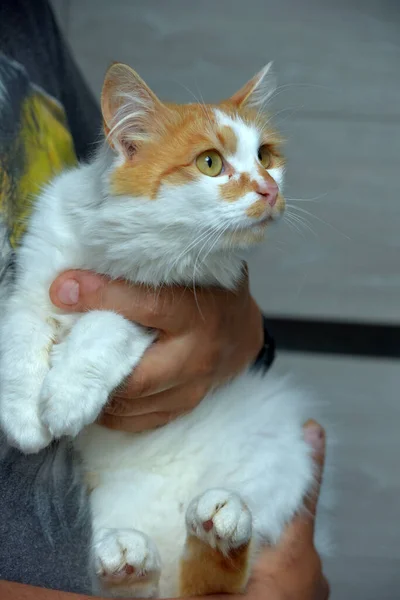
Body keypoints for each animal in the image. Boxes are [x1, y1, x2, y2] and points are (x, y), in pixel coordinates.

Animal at [0, 63, 328, 596]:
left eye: (264, 157)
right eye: (210, 163)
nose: (269, 190)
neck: (116, 250)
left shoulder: (158, 306)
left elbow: (102, 326)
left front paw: (65, 397)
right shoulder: (30, 290)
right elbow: (18, 345)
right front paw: (24, 419)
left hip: (279, 454)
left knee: (217, 573)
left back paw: (220, 520)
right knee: (143, 583)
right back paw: (128, 556)